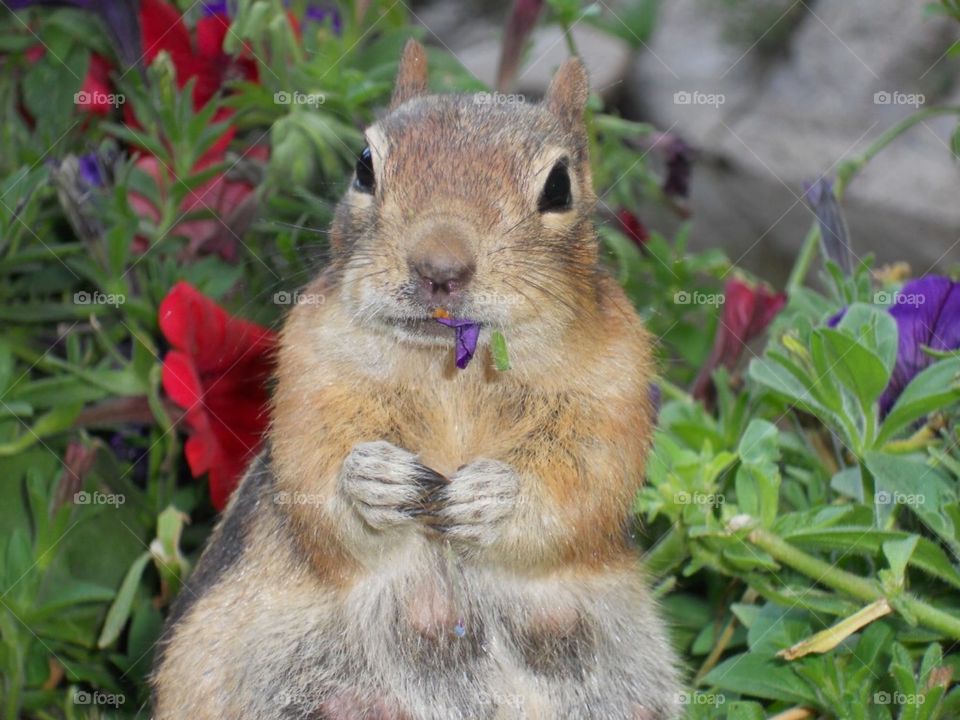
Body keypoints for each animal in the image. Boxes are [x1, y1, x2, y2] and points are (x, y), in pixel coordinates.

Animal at [151, 40, 680, 720]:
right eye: (364, 166)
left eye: (560, 185)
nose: (440, 267)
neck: (450, 369)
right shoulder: (311, 370)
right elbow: (318, 484)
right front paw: (374, 477)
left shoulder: (613, 386)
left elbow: (585, 484)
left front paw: (492, 494)